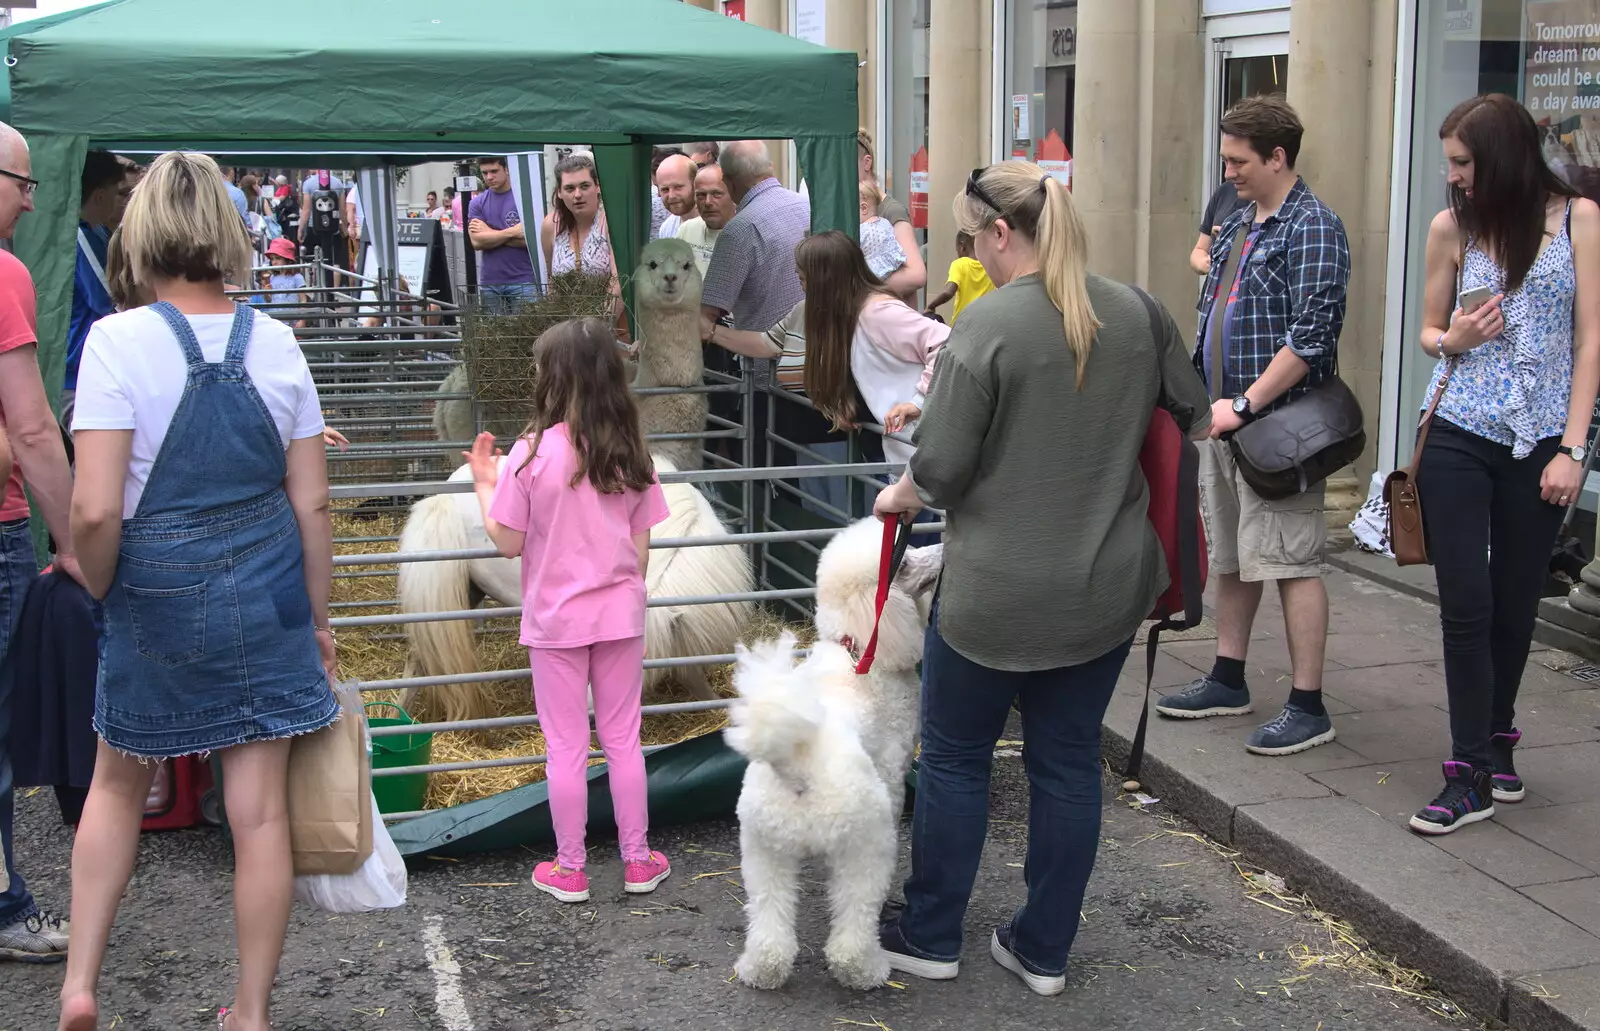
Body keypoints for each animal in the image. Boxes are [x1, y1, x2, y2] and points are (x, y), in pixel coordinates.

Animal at [729, 518, 940, 992]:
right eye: (904, 563)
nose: (941, 551)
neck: (858, 648)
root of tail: (800, 762)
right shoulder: (893, 769)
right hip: (866, 842)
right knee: (854, 917)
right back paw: (865, 970)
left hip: (763, 848)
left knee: (769, 919)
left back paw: (761, 971)